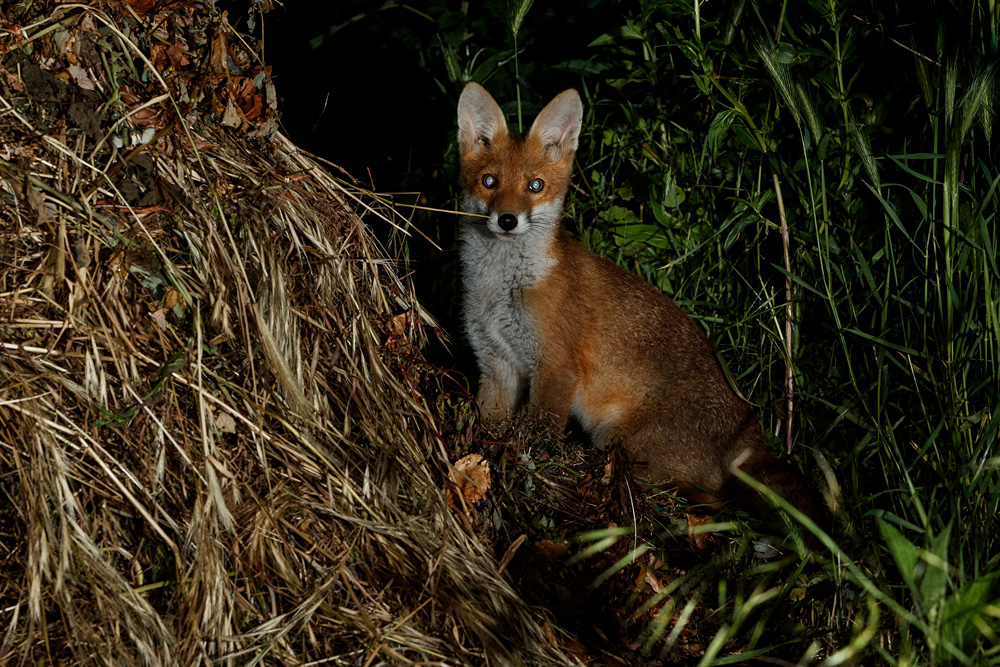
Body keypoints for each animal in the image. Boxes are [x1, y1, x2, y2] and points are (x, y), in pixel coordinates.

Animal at [456, 82, 828, 544]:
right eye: (489, 181)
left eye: (535, 186)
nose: (507, 220)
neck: (503, 289)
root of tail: (751, 430)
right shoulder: (496, 363)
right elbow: (490, 425)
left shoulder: (556, 368)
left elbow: (537, 437)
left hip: (622, 446)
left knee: (709, 500)